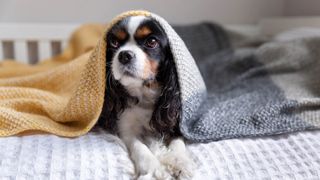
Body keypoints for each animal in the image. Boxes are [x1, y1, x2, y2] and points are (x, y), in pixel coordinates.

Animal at [99, 16, 195, 179]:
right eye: (114, 42)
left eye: (151, 42)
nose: (124, 55)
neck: (144, 93)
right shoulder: (126, 129)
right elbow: (140, 147)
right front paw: (155, 169)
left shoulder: (177, 122)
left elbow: (178, 141)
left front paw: (180, 162)